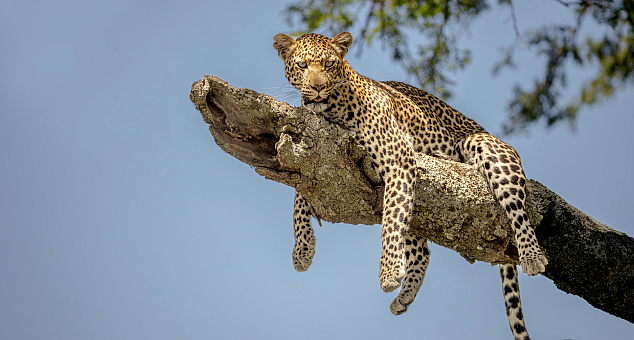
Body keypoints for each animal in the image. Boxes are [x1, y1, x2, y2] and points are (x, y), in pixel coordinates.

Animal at [274, 31, 544, 340]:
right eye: (302, 65)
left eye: (329, 64)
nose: (318, 88)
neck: (333, 107)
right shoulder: (313, 148)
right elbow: (299, 195)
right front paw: (302, 250)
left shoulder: (399, 159)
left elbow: (391, 222)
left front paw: (389, 270)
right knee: (422, 249)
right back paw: (404, 297)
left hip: (486, 148)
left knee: (518, 210)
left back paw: (532, 255)